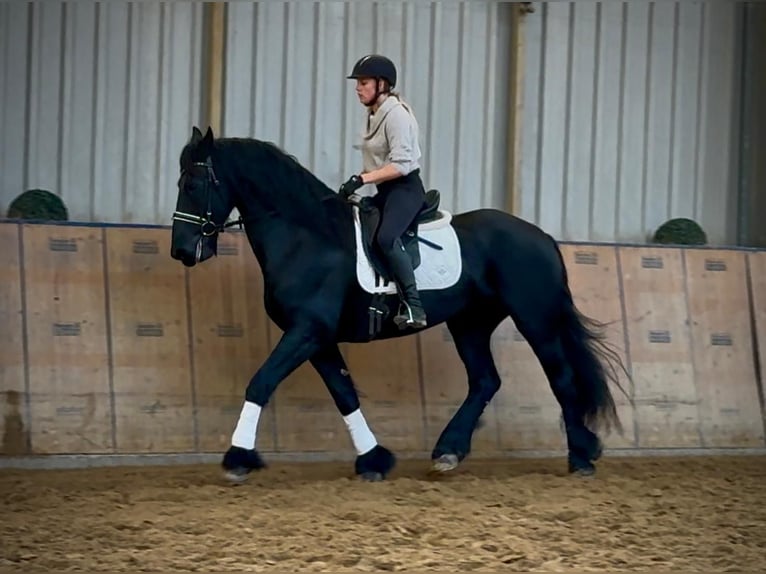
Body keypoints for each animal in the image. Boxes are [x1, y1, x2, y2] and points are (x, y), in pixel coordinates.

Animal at [170, 126, 629, 482]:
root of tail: (542, 235)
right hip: (470, 323)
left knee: (561, 379)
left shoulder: (307, 331)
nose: (182, 251)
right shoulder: (318, 338)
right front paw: (374, 460)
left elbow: (261, 382)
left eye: (192, 185)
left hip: (535, 319)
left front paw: (237, 458)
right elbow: (344, 394)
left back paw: (580, 456)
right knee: (485, 381)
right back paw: (448, 451)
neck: (308, 237)